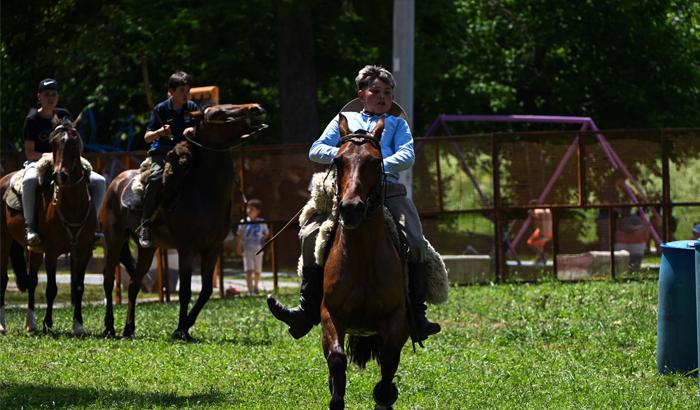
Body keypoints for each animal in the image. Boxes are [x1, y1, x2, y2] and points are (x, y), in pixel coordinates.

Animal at [0, 122, 97, 336]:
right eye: (53, 144)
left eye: (74, 141)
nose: (59, 175)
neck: (72, 204)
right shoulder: (52, 251)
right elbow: (51, 288)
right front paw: (48, 322)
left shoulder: (83, 250)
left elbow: (78, 286)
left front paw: (78, 324)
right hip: (3, 242)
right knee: (4, 278)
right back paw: (3, 325)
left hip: (34, 249)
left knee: (31, 280)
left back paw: (30, 323)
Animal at [102, 103, 268, 340]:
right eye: (218, 113)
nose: (255, 108)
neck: (204, 193)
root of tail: (116, 182)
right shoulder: (186, 248)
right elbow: (186, 291)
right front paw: (180, 330)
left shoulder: (212, 249)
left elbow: (206, 290)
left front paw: (186, 325)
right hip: (113, 240)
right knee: (108, 280)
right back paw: (109, 327)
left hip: (147, 249)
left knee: (134, 285)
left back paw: (129, 329)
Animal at [320, 114, 408, 410]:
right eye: (338, 161)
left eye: (374, 161)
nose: (351, 209)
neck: (363, 261)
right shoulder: (331, 315)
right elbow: (337, 359)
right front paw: (336, 395)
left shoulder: (395, 319)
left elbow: (389, 363)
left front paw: (385, 395)